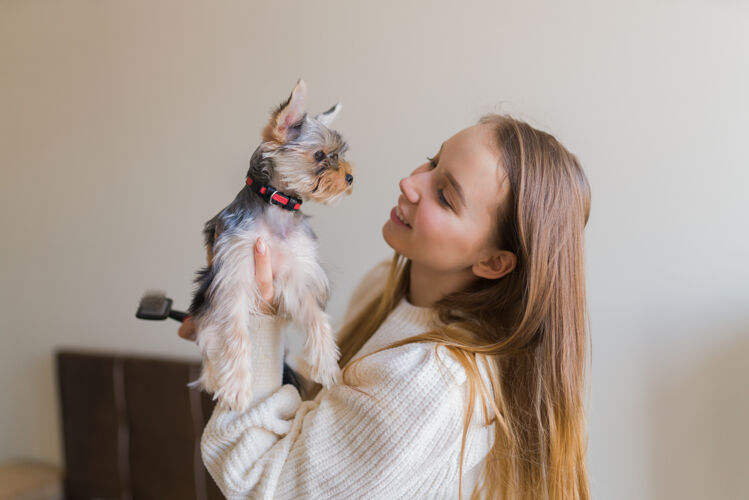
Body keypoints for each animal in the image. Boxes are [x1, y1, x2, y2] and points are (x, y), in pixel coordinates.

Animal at [186, 79, 352, 410]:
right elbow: (235, 332)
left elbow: (317, 316)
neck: (277, 207)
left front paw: (326, 363)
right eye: (320, 155)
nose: (350, 178)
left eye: (339, 155)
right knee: (209, 340)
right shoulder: (232, 279)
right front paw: (237, 386)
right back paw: (214, 377)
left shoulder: (295, 276)